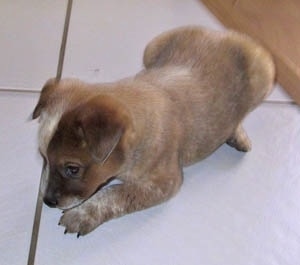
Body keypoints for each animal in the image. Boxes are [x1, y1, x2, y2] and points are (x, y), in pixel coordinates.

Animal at [32, 26, 274, 235]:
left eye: (73, 169)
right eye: (44, 157)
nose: (47, 201)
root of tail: (222, 32)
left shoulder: (164, 182)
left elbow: (115, 193)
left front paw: (81, 215)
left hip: (265, 73)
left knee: (241, 114)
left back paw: (237, 135)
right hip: (152, 47)